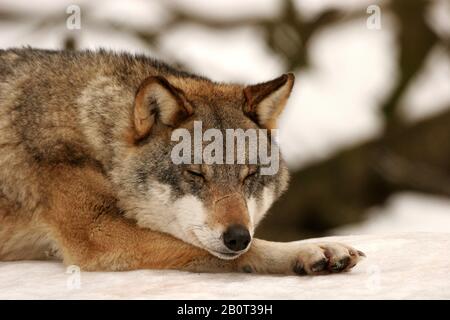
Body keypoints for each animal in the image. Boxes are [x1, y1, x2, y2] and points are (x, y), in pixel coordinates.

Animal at [0, 48, 364, 276]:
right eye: (195, 174)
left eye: (248, 176)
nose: (237, 237)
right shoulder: (98, 233)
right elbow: (233, 251)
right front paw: (306, 252)